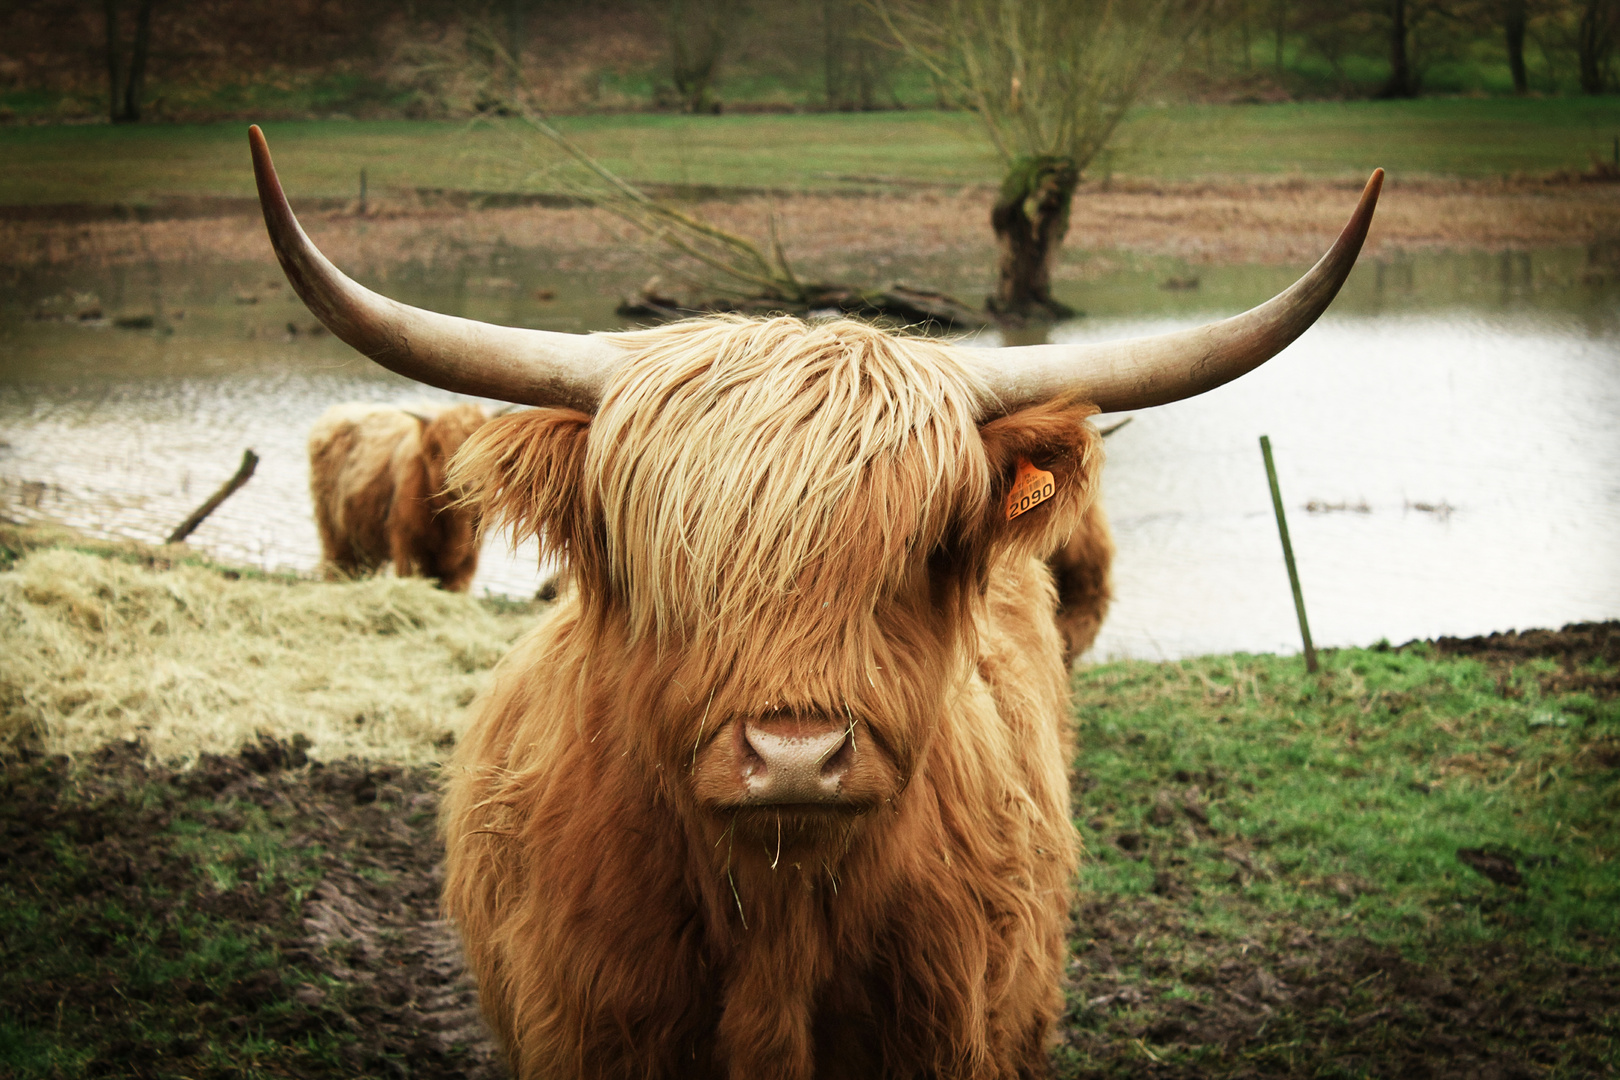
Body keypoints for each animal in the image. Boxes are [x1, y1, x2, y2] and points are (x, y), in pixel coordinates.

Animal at [306, 403, 486, 592]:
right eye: (438, 447)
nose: (469, 484)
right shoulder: (409, 543)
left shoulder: (467, 557)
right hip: (334, 531)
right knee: (338, 563)